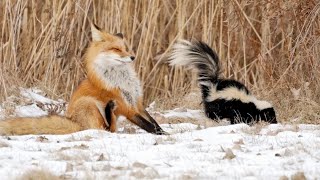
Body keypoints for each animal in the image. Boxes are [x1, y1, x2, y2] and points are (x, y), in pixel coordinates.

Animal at [0, 24, 165, 136]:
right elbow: (149, 126)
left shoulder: (137, 103)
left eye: (125, 48)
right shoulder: (128, 108)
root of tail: (75, 123)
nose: (132, 57)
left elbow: (154, 122)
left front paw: (163, 132)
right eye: (116, 49)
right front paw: (164, 136)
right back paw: (108, 110)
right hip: (89, 103)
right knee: (106, 129)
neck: (122, 80)